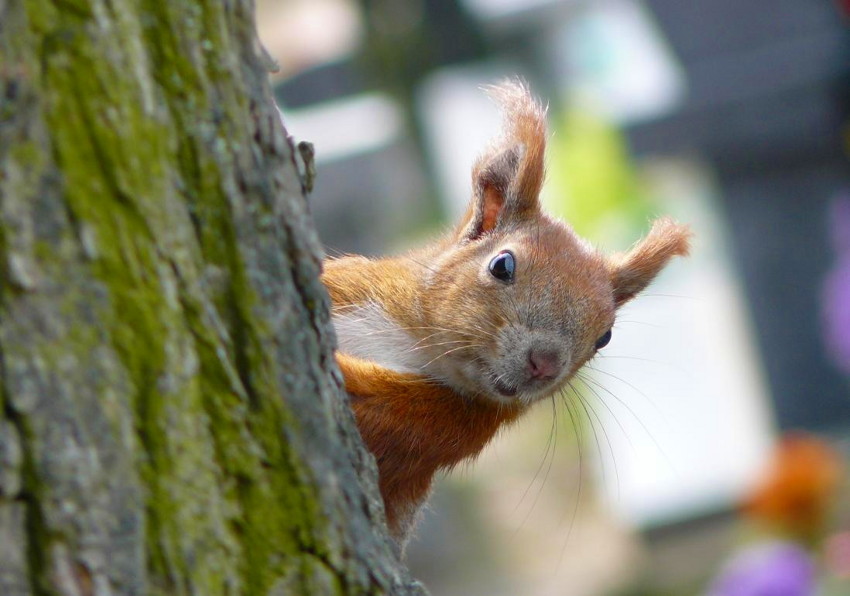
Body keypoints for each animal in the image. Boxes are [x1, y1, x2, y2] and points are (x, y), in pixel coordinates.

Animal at [320, 80, 688, 544]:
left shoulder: (437, 428)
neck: (418, 348)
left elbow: (377, 414)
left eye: (604, 337)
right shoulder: (353, 288)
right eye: (502, 265)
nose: (545, 363)